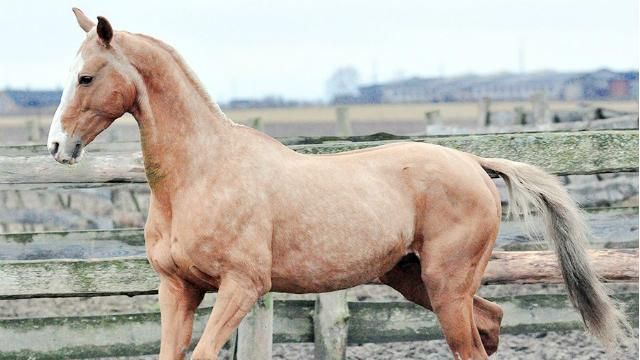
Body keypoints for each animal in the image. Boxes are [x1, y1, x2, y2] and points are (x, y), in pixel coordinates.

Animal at [48, 7, 624, 358]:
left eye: (86, 77)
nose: (57, 146)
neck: (200, 177)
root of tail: (474, 164)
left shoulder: (243, 287)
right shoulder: (177, 288)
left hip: (445, 284)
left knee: (473, 343)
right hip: (414, 279)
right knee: (492, 322)